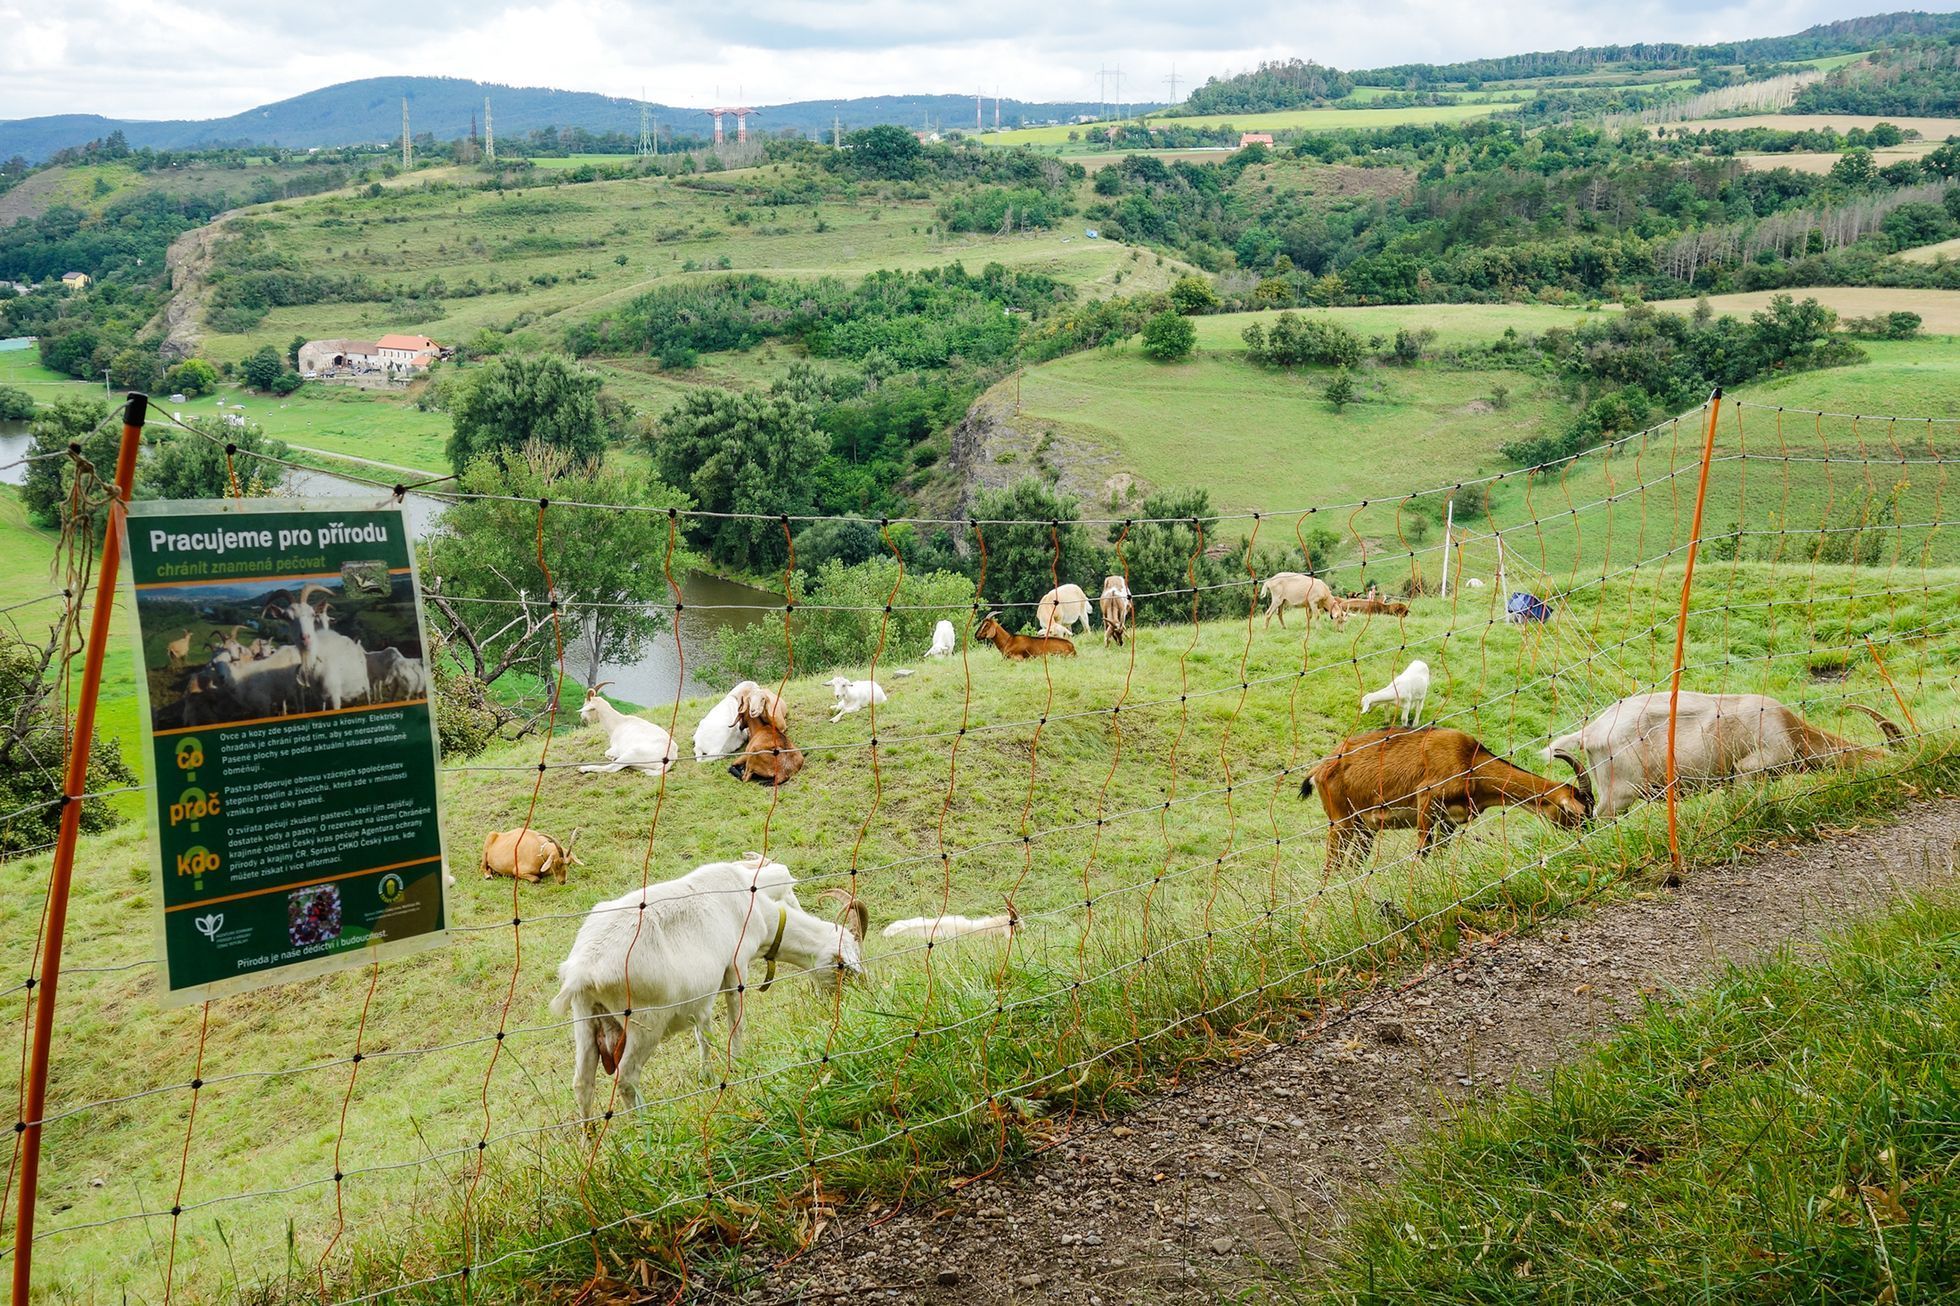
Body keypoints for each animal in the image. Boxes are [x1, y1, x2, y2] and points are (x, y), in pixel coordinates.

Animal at [548, 851, 862, 1113]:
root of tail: (582, 970)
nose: (850, 999)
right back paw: (643, 1126)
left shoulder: (704, 993)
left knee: (582, 1083)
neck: (759, 912)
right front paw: (738, 1065)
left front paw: (707, 1075)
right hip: (644, 1021)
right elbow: (736, 1022)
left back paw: (589, 1143)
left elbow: (704, 1032)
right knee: (626, 1078)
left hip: (585, 1017)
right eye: (842, 969)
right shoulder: (736, 967)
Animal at [1301, 725, 1591, 870]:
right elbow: (1422, 852)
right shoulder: (1426, 801)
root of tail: (1320, 769)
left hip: (1365, 828)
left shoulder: (1450, 821)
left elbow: (1438, 853)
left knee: (1351, 865)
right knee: (1332, 866)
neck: (1471, 762)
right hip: (1342, 822)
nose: (1588, 837)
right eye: (1579, 815)